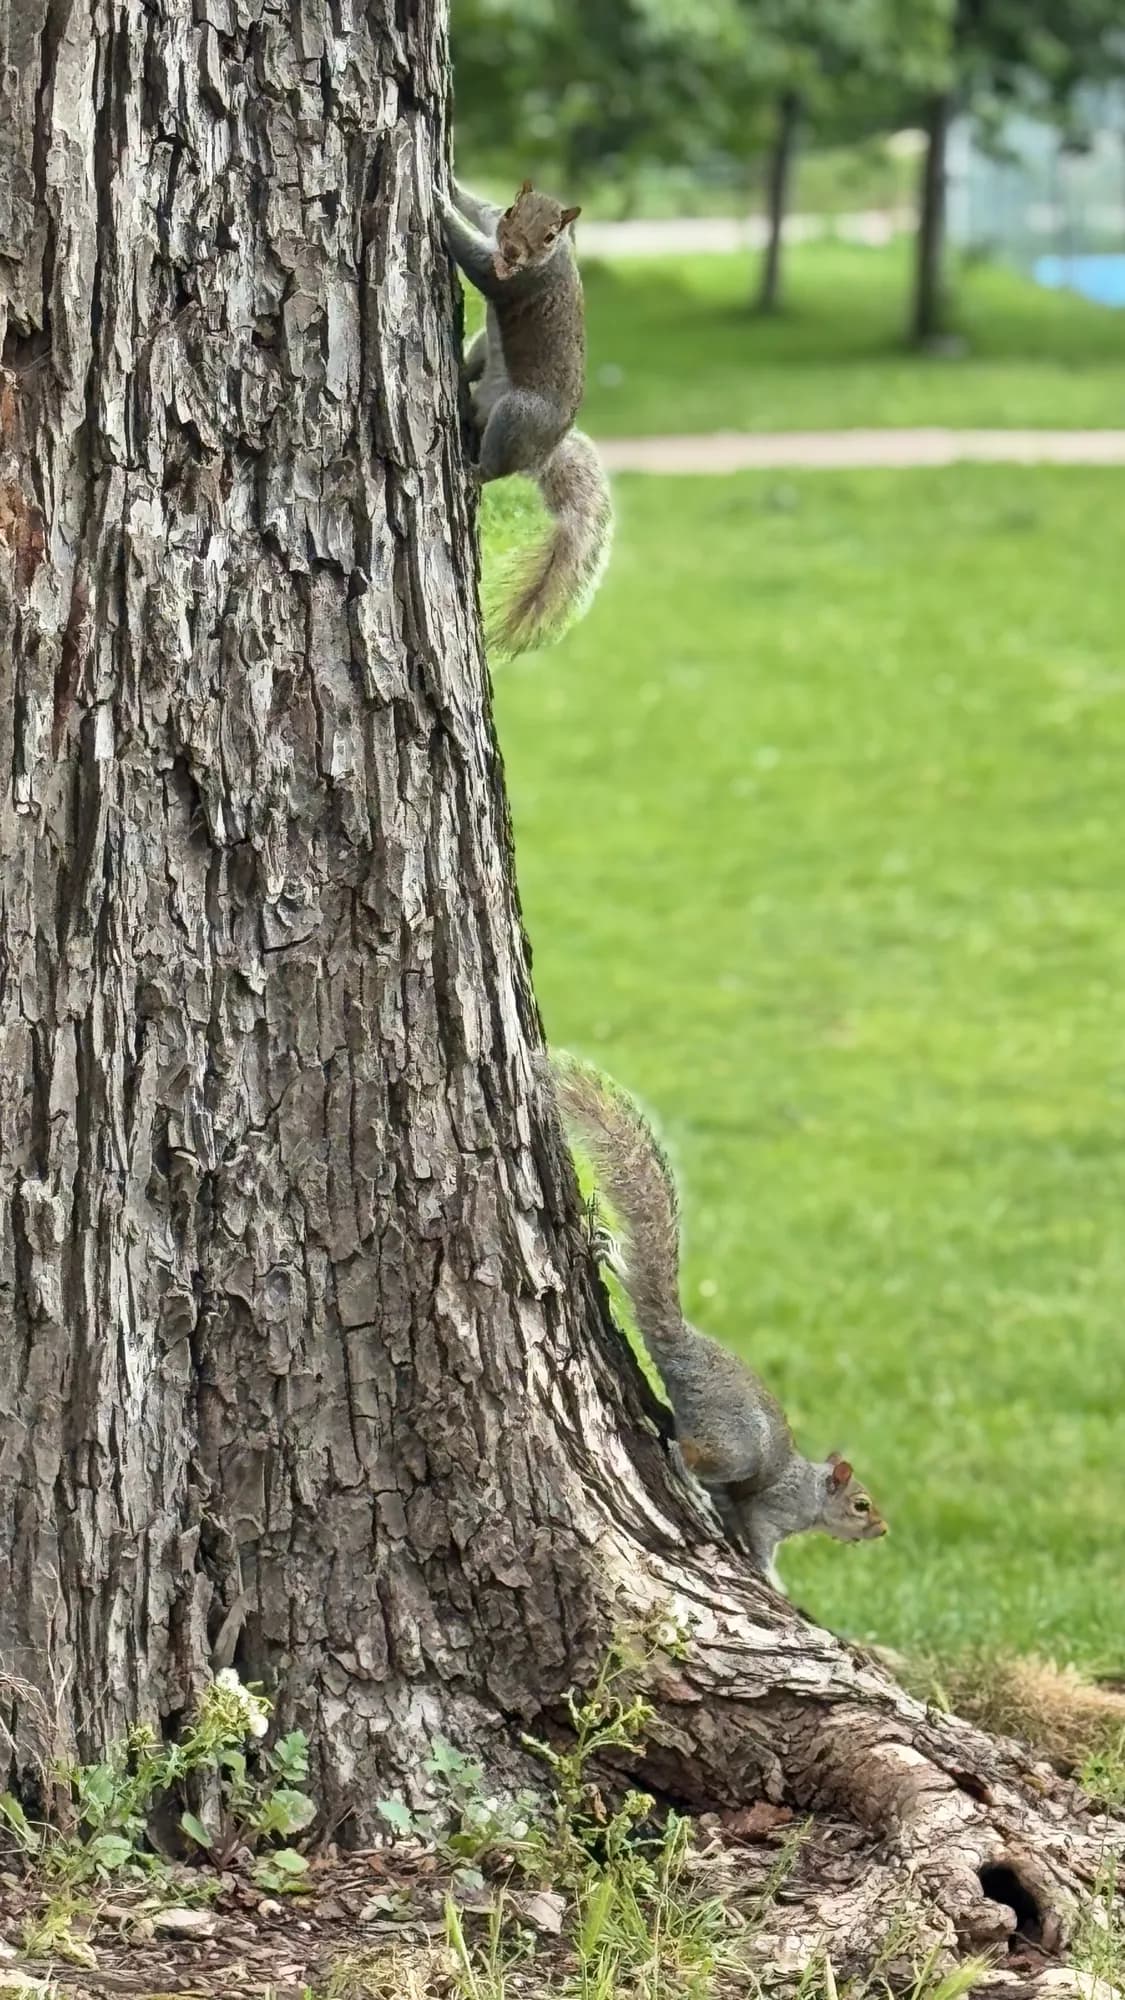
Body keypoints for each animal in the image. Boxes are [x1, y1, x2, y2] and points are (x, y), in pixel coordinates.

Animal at [435, 176, 613, 657]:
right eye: (514, 212)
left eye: (550, 235)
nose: (513, 252)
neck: (557, 255)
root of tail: (542, 453)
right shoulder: (493, 222)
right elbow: (479, 209)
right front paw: (451, 186)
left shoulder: (517, 281)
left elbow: (477, 261)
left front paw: (439, 208)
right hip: (484, 349)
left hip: (517, 415)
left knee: (496, 466)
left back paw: (472, 472)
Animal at [550, 1053, 888, 1584]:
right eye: (861, 1505)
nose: (884, 1529)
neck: (811, 1493)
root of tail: (682, 1347)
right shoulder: (769, 1511)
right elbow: (761, 1546)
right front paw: (774, 1583)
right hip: (733, 1447)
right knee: (684, 1453)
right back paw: (690, 1482)